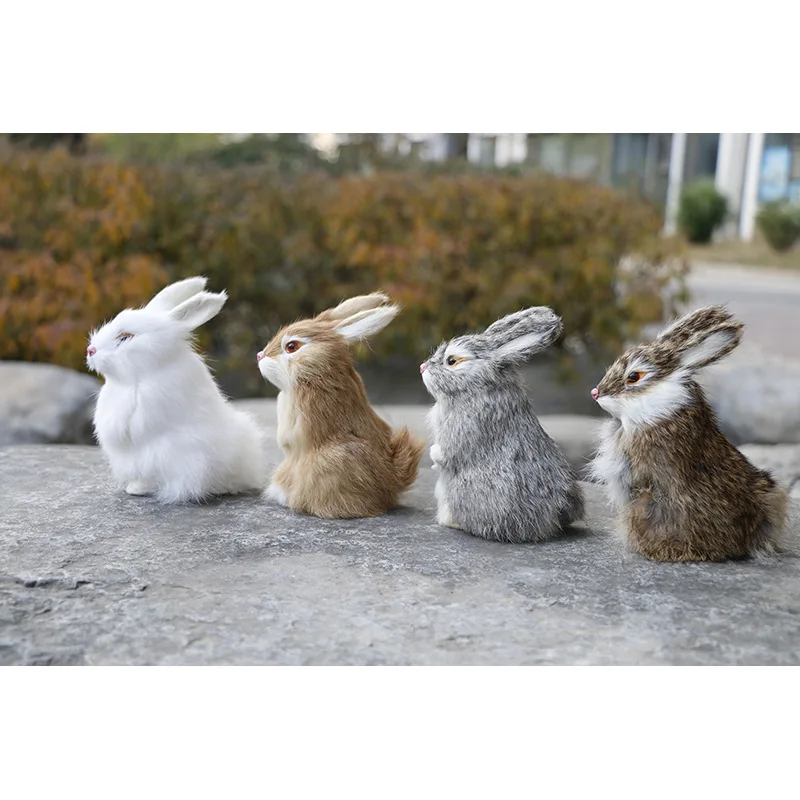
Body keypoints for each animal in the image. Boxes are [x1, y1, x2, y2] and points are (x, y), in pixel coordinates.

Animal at [420, 307, 584, 543]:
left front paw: (434, 456)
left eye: (451, 361)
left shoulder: (464, 425)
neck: (477, 386)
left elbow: (448, 452)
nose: (422, 367)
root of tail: (551, 519)